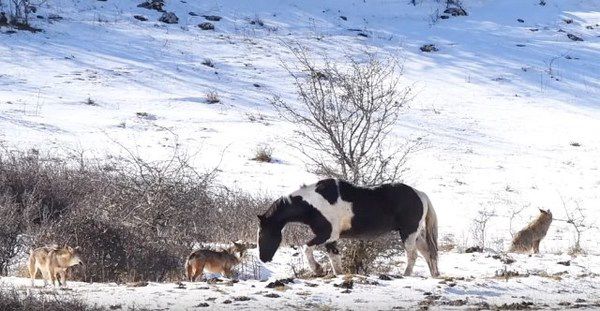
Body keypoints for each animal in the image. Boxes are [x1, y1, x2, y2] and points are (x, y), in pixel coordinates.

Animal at [255, 178, 438, 278]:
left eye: (263, 234)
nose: (263, 258)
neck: (313, 204)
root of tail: (420, 194)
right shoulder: (331, 240)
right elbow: (334, 259)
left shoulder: (327, 234)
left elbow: (307, 247)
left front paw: (318, 269)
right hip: (416, 235)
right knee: (428, 253)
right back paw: (434, 275)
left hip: (408, 233)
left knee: (413, 255)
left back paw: (405, 275)